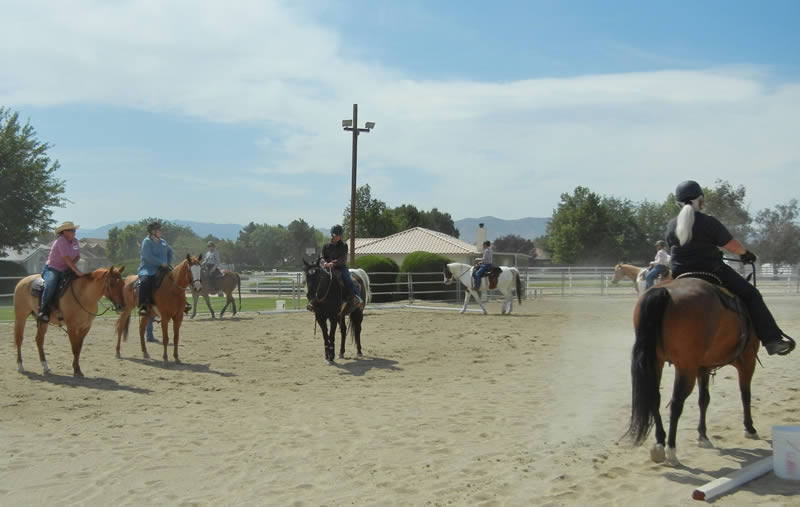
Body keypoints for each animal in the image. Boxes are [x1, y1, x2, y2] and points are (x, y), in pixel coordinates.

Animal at [623, 277, 767, 466]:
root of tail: (663, 291)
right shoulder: (747, 361)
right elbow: (745, 394)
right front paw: (749, 428)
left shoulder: (703, 367)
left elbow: (704, 400)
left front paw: (703, 436)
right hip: (686, 368)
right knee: (676, 403)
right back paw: (671, 450)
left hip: (656, 362)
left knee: (654, 397)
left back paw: (660, 444)